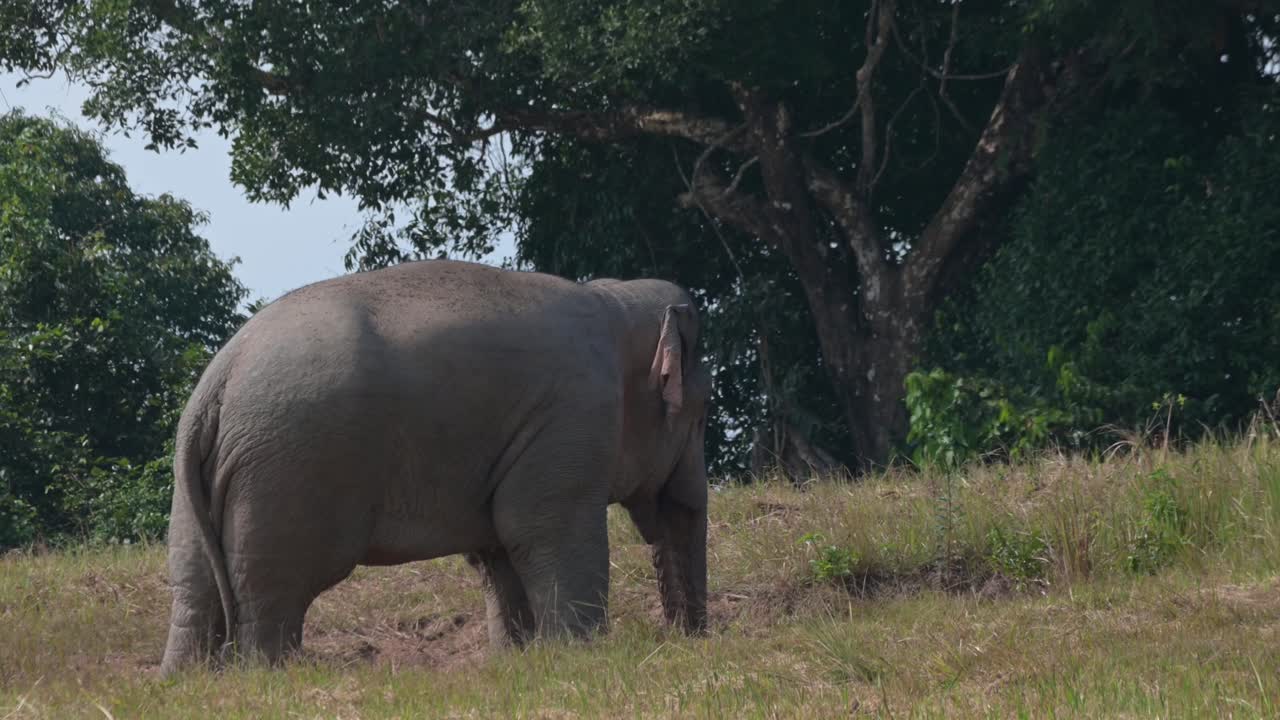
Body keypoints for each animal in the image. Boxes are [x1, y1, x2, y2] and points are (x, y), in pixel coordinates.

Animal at [159, 259, 711, 674]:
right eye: (702, 415)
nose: (690, 638)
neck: (615, 301)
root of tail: (219, 379)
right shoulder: (572, 415)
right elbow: (544, 529)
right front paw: (582, 656)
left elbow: (498, 548)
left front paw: (518, 660)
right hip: (286, 471)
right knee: (272, 596)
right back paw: (268, 677)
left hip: (200, 488)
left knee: (194, 590)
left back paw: (191, 680)